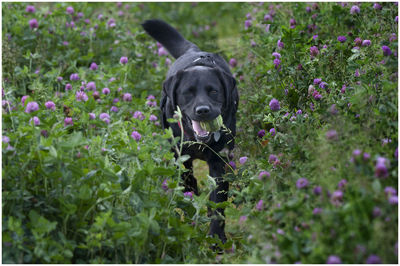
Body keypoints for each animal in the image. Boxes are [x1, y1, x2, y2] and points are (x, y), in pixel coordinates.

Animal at [143, 19, 239, 243]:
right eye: (188, 93)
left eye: (214, 91)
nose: (203, 110)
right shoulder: (178, 151)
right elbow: (186, 177)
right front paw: (191, 193)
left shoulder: (219, 161)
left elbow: (218, 201)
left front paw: (216, 238)